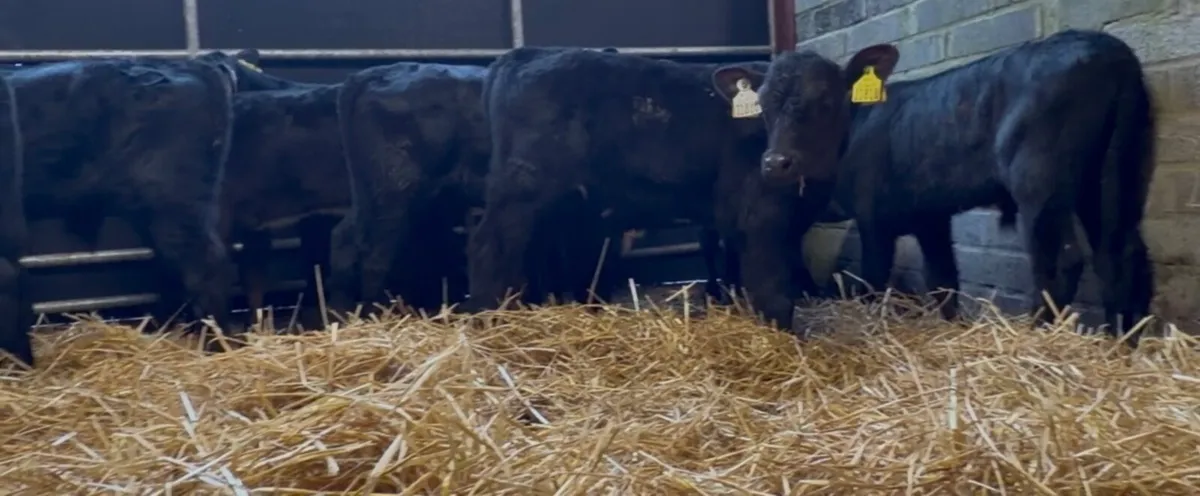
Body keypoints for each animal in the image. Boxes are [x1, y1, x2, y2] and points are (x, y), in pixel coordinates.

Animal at [461, 47, 831, 330]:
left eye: (829, 100)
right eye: (765, 105)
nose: (778, 161)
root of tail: (524, 54)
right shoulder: (759, 216)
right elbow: (770, 285)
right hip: (520, 189)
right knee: (488, 246)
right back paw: (487, 318)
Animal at [729, 29, 1156, 342]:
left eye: (827, 100)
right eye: (764, 105)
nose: (777, 162)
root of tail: (1107, 48)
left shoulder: (872, 217)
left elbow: (874, 278)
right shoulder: (930, 216)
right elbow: (942, 278)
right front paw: (950, 326)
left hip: (1040, 181)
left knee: (1062, 260)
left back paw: (1039, 335)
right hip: (1114, 175)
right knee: (1121, 253)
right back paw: (1123, 341)